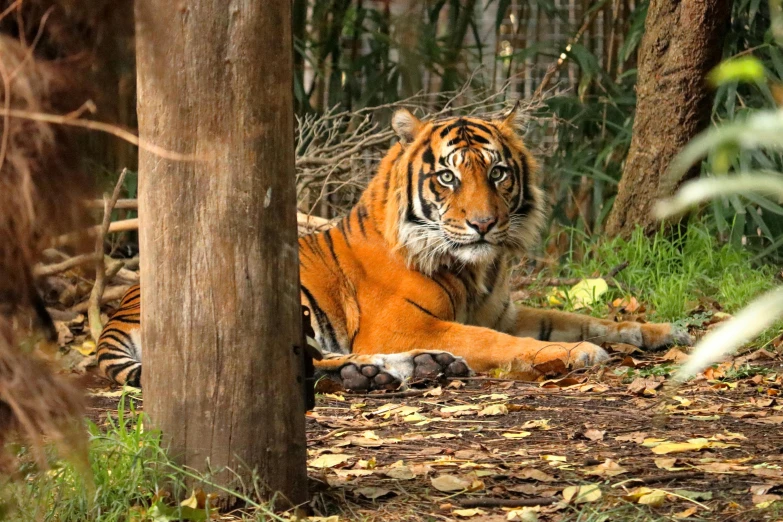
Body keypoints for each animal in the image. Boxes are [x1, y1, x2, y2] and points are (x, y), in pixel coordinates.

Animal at [98, 105, 692, 388]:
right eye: (448, 177)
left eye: (498, 173)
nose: (484, 225)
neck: (475, 271)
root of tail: (117, 312)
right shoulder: (402, 322)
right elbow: (497, 342)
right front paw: (577, 355)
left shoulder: (501, 309)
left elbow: (580, 318)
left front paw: (660, 331)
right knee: (305, 364)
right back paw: (386, 372)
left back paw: (414, 368)